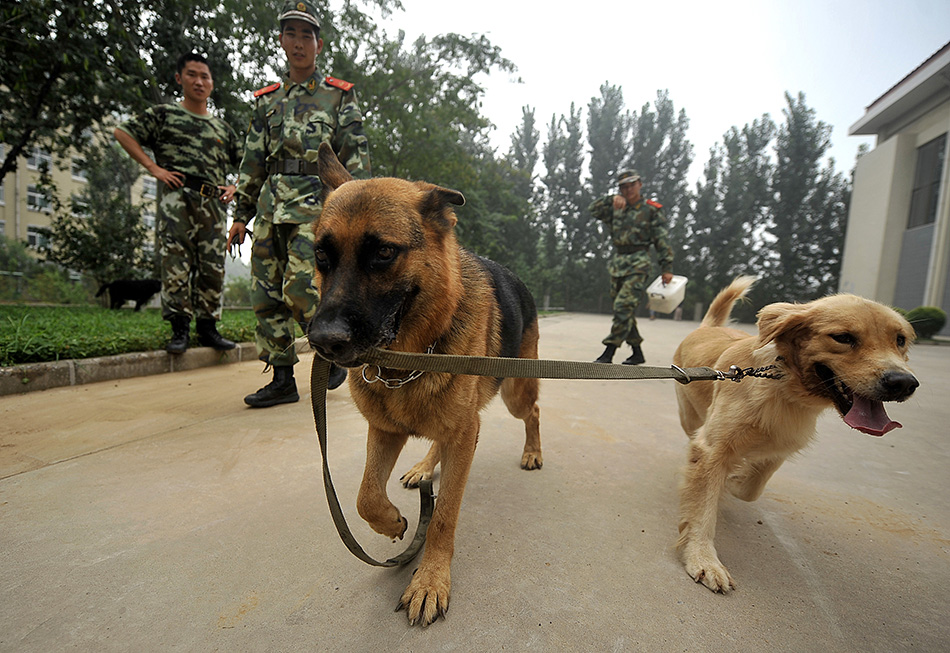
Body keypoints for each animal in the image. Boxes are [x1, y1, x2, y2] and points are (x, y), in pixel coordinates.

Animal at [304, 144, 544, 628]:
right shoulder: (385, 431)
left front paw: (430, 580)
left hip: (515, 390)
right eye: (322, 255)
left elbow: (444, 515)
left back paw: (533, 451)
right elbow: (364, 496)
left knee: (533, 412)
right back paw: (424, 467)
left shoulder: (464, 433)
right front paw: (394, 523)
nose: (323, 342)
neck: (410, 359)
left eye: (383, 253)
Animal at [672, 276, 920, 592]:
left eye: (900, 340)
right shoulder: (711, 447)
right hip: (689, 416)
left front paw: (733, 480)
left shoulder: (782, 444)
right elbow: (702, 508)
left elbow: (750, 488)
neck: (782, 381)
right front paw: (703, 559)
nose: (903, 383)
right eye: (843, 337)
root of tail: (707, 327)